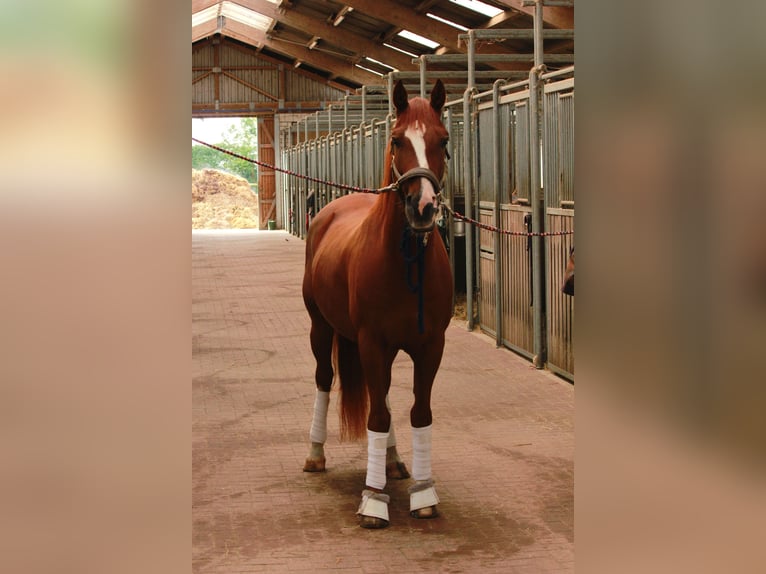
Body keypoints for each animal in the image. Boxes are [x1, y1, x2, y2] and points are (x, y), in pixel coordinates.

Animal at [302, 81, 456, 532]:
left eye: (444, 140)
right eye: (397, 140)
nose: (423, 207)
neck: (404, 263)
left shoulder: (429, 347)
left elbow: (417, 413)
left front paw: (424, 493)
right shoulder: (371, 343)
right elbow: (376, 418)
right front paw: (373, 501)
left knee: (380, 395)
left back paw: (393, 461)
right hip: (321, 329)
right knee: (324, 379)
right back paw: (315, 454)